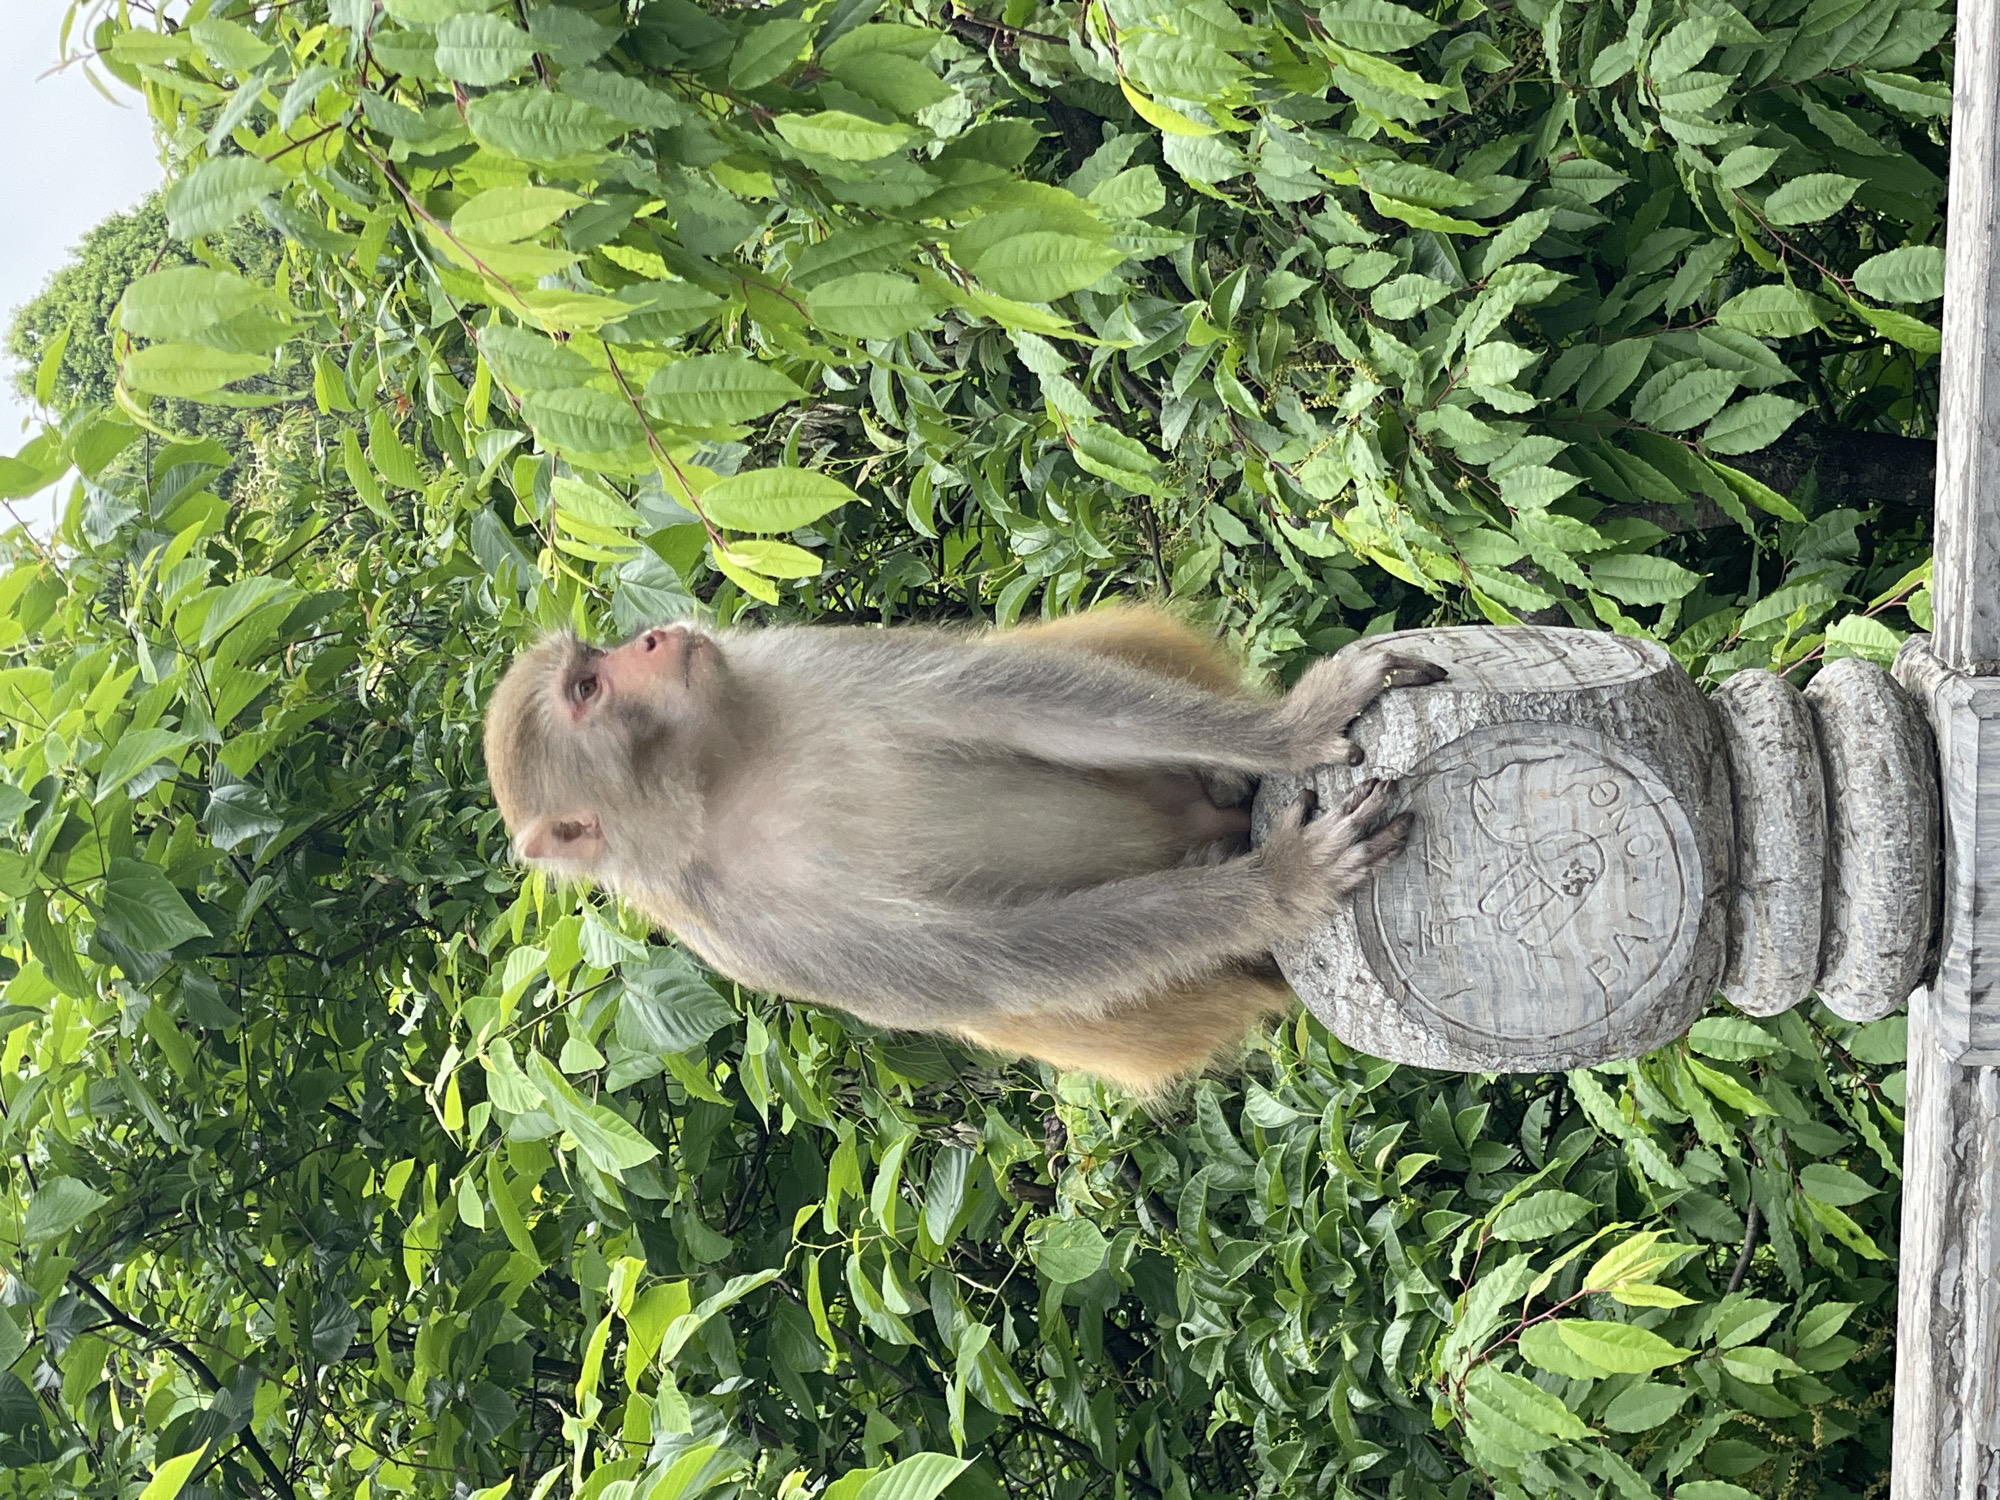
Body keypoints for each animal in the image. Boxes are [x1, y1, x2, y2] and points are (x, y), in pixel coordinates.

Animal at [482, 605, 1444, 1092]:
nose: (655, 635)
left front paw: (1294, 730)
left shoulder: (781, 662)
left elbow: (994, 701)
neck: (717, 783)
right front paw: (1283, 884)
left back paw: (1224, 777)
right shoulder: (744, 936)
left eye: (595, 661)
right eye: (587, 687)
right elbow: (984, 959)